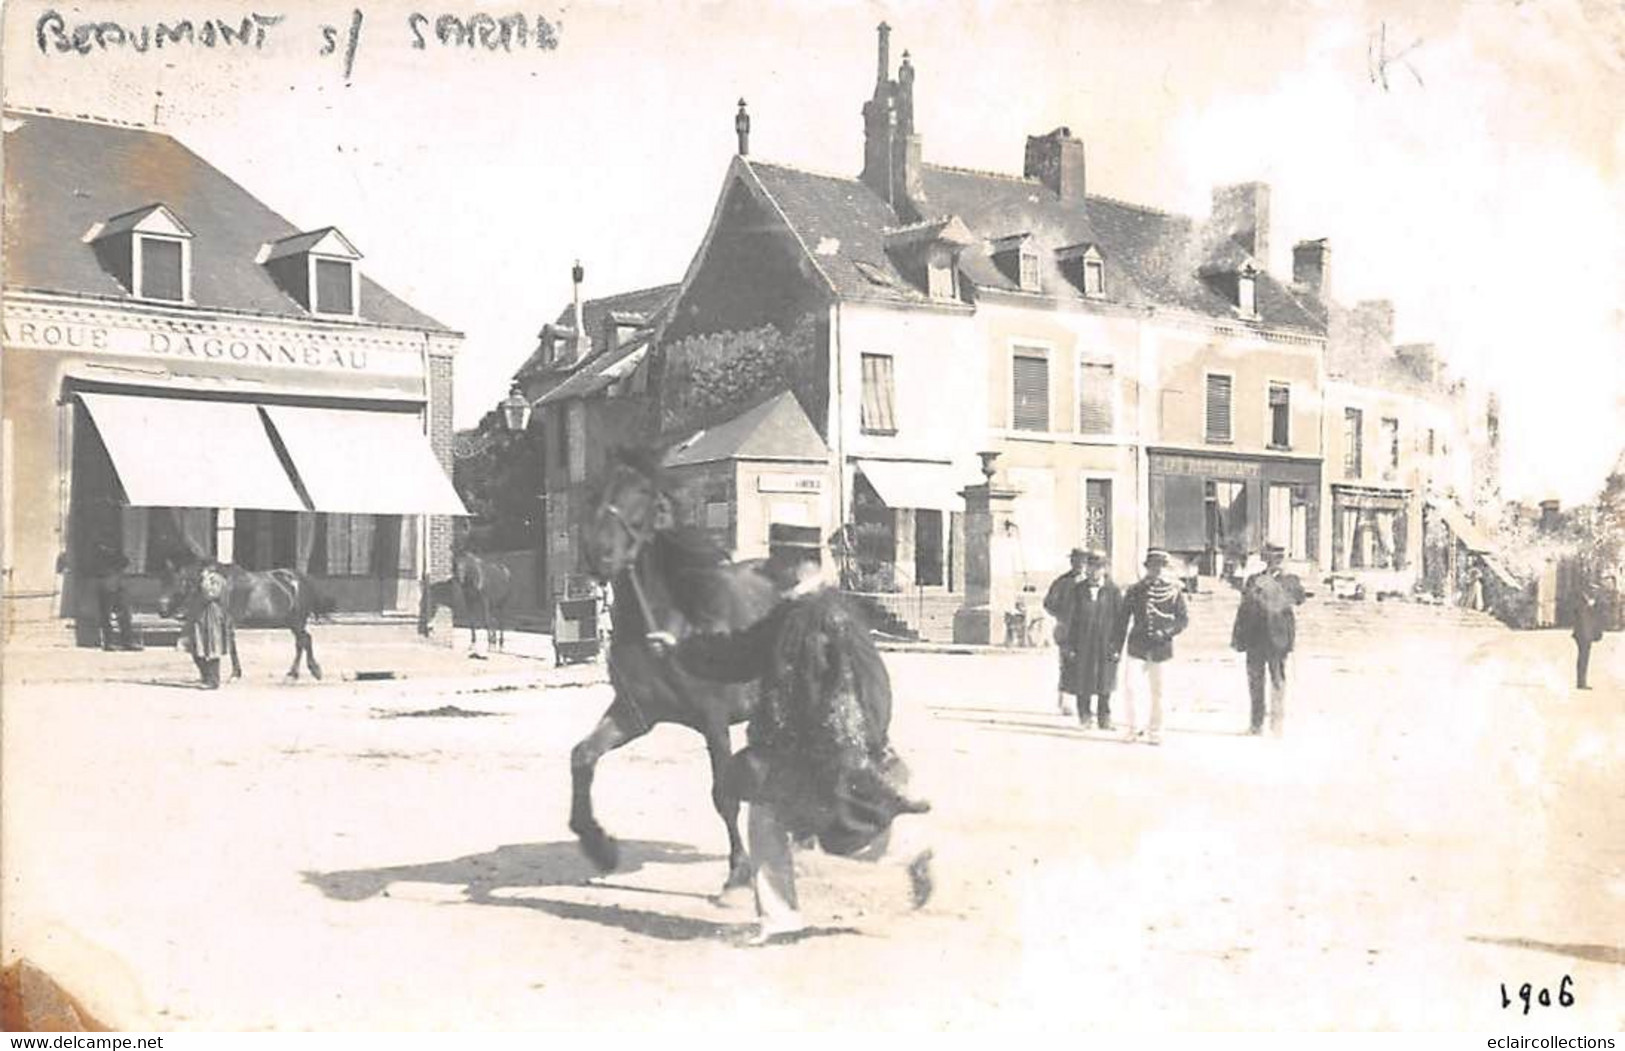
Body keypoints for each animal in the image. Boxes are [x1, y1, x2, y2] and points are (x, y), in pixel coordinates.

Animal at [158, 558, 336, 682]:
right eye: (163, 581)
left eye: (179, 582)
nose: (162, 610)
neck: (221, 585)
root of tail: (300, 579)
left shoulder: (228, 623)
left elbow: (231, 647)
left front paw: (234, 674)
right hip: (292, 622)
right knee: (302, 642)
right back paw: (296, 674)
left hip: (297, 621)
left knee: (304, 641)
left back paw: (306, 673)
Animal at [572, 451, 780, 896]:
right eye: (596, 494)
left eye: (644, 495)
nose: (599, 555)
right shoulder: (636, 713)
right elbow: (583, 756)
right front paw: (599, 847)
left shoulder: (713, 719)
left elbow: (723, 794)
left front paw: (738, 873)